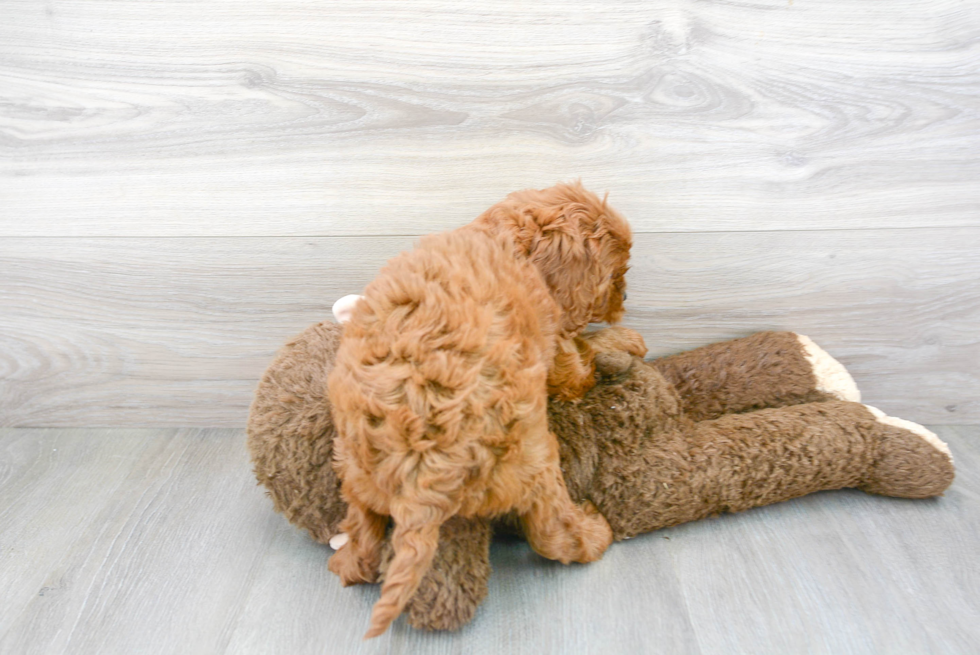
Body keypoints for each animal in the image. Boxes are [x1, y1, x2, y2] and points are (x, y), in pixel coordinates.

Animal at [328, 182, 644, 640]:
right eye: (615, 273)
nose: (626, 298)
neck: (504, 240)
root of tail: (420, 477)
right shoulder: (553, 335)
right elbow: (575, 362)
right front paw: (610, 349)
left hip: (354, 471)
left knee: (363, 534)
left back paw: (347, 559)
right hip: (533, 460)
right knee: (551, 533)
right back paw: (591, 533)